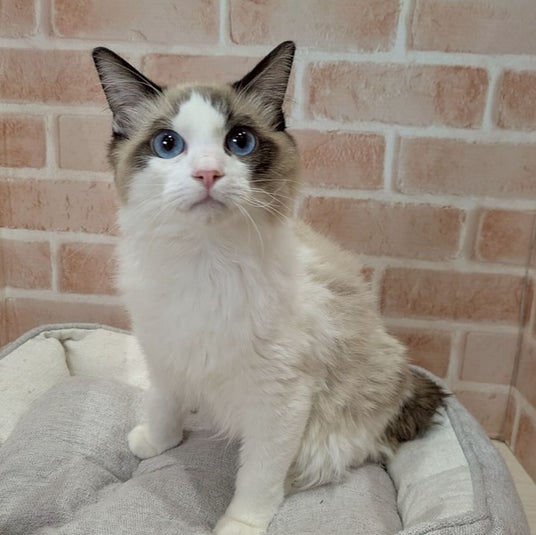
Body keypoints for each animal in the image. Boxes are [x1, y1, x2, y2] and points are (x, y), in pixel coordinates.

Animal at [92, 41, 446, 535]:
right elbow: (163, 408)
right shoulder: (164, 356)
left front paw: (239, 524)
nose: (207, 174)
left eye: (240, 142)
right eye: (168, 145)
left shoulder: (280, 400)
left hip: (328, 430)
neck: (205, 263)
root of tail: (402, 384)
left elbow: (258, 476)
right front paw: (157, 442)